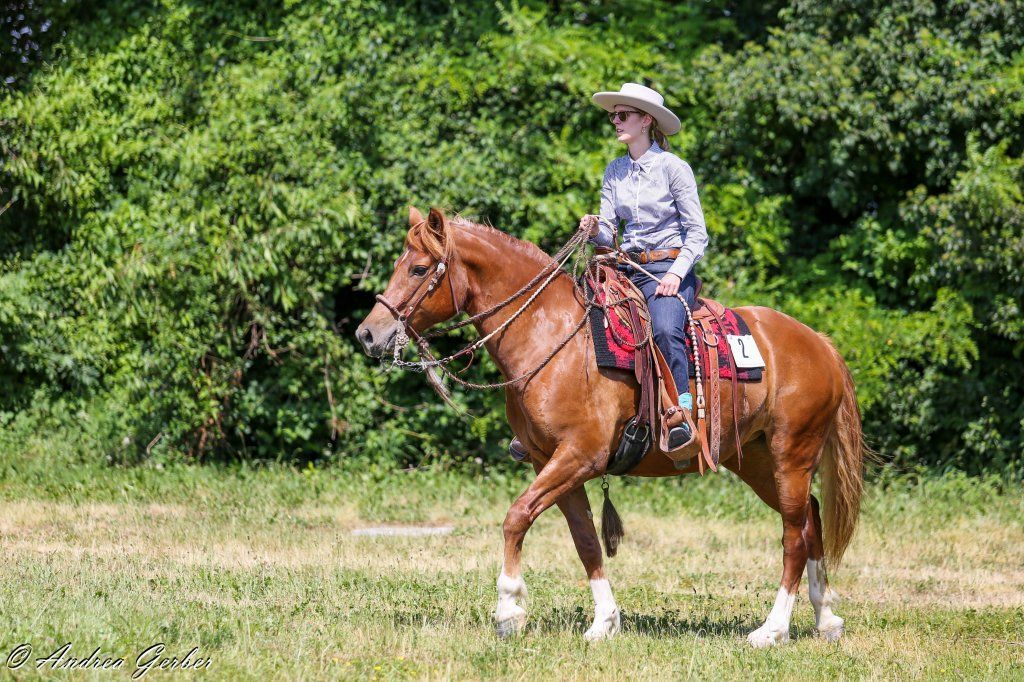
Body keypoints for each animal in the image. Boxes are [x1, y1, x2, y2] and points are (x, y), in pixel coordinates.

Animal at [355, 206, 865, 647]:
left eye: (419, 269)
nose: (368, 334)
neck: (550, 336)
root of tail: (818, 343)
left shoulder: (580, 455)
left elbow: (517, 516)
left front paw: (509, 610)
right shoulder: (549, 460)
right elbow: (585, 540)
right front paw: (605, 622)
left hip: (790, 454)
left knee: (793, 536)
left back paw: (772, 630)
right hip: (756, 460)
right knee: (810, 519)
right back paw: (826, 619)